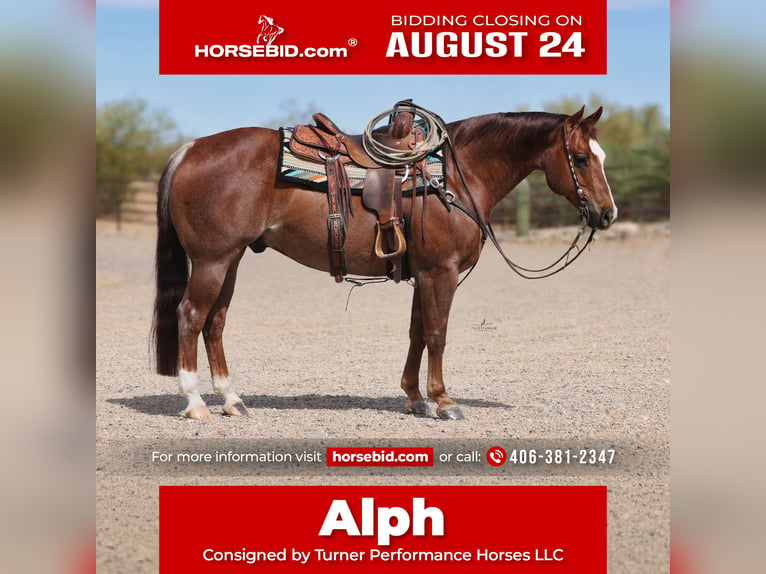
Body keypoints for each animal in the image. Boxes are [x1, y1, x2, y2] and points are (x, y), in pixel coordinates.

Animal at [151, 105, 616, 420]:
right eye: (580, 158)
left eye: (602, 157)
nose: (607, 214)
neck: (456, 176)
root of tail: (190, 150)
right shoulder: (441, 271)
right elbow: (437, 334)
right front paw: (444, 401)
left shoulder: (422, 274)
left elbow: (416, 334)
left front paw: (414, 397)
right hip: (212, 261)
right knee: (190, 316)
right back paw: (195, 402)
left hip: (230, 260)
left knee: (215, 322)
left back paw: (233, 400)